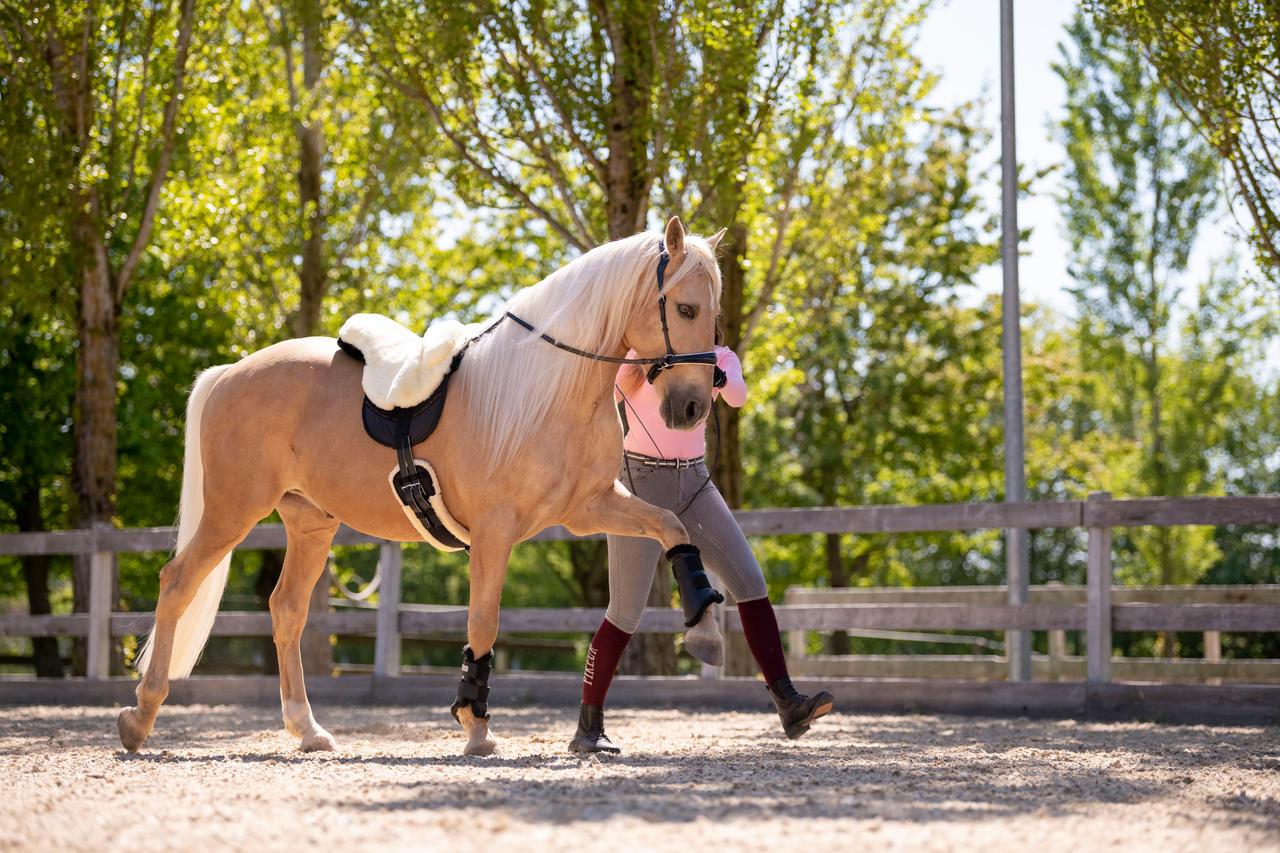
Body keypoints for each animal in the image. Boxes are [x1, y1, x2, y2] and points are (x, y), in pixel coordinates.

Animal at [117, 217, 732, 753]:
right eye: (685, 307)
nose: (692, 408)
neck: (548, 388)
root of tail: (229, 373)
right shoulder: (495, 529)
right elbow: (483, 620)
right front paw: (475, 726)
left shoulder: (590, 508)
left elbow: (672, 527)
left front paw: (704, 627)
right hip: (233, 511)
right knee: (178, 584)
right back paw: (140, 717)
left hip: (309, 522)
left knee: (286, 609)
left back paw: (308, 731)